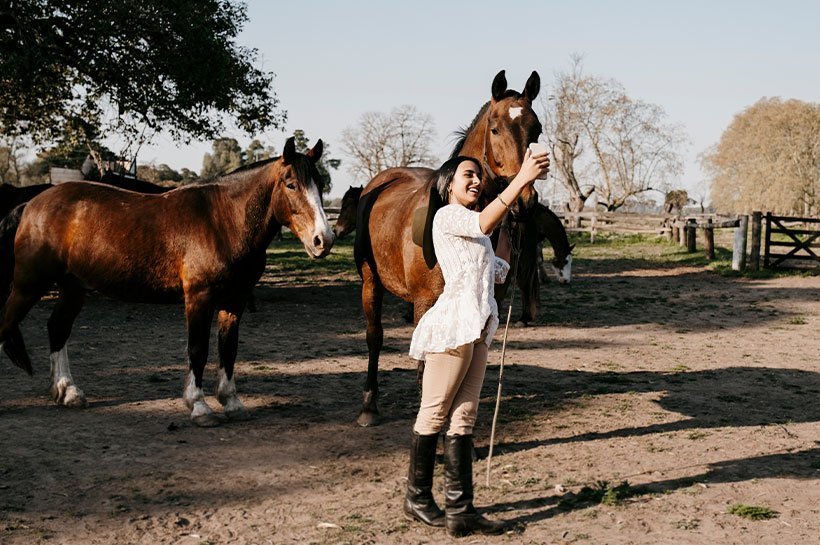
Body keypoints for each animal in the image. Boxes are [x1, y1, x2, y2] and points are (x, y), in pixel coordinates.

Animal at [0, 136, 334, 424]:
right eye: (291, 184)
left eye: (320, 184)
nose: (323, 240)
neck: (222, 221)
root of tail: (30, 205)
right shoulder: (199, 297)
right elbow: (197, 348)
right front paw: (199, 406)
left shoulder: (234, 300)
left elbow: (228, 348)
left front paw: (231, 402)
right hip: (28, 285)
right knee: (8, 325)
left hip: (72, 287)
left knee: (58, 329)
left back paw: (68, 392)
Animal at [354, 69, 540, 424]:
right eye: (495, 128)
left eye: (536, 129)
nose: (524, 202)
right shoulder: (426, 301)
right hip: (371, 283)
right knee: (374, 337)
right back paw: (368, 404)